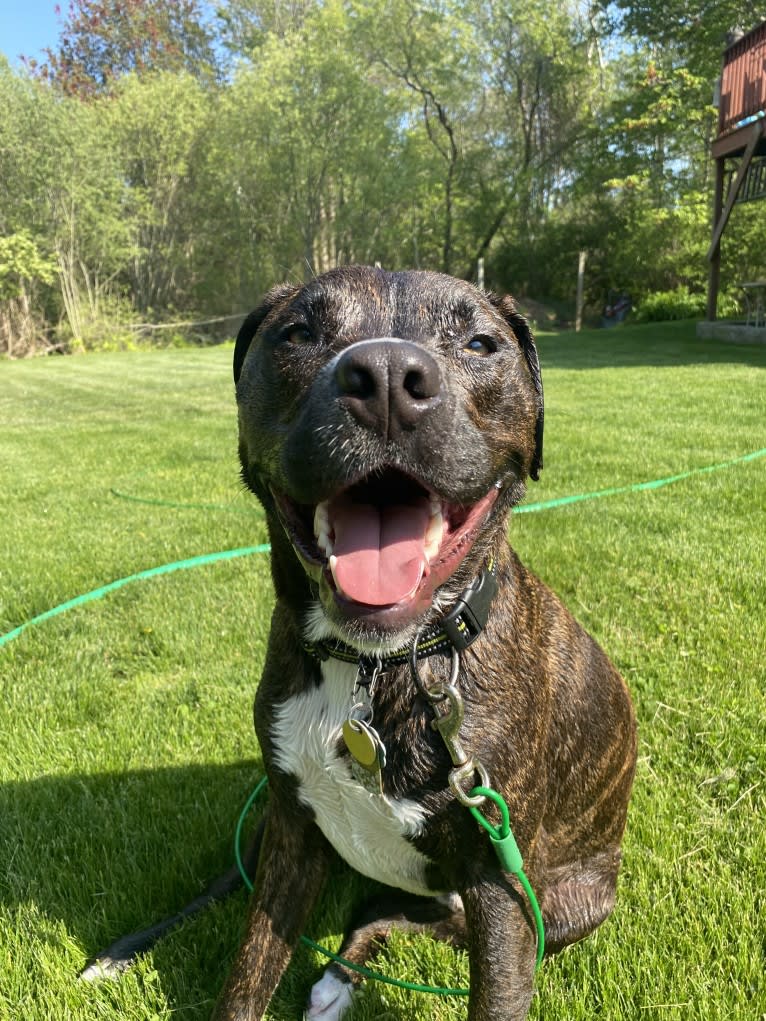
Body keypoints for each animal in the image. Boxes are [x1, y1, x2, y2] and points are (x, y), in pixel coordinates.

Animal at [82, 265, 637, 1021]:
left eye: (479, 343)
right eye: (299, 333)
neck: (377, 664)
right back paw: (125, 953)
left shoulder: (500, 891)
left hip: (553, 905)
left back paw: (336, 980)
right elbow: (246, 973)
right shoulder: (291, 827)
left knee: (385, 916)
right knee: (241, 884)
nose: (387, 377)